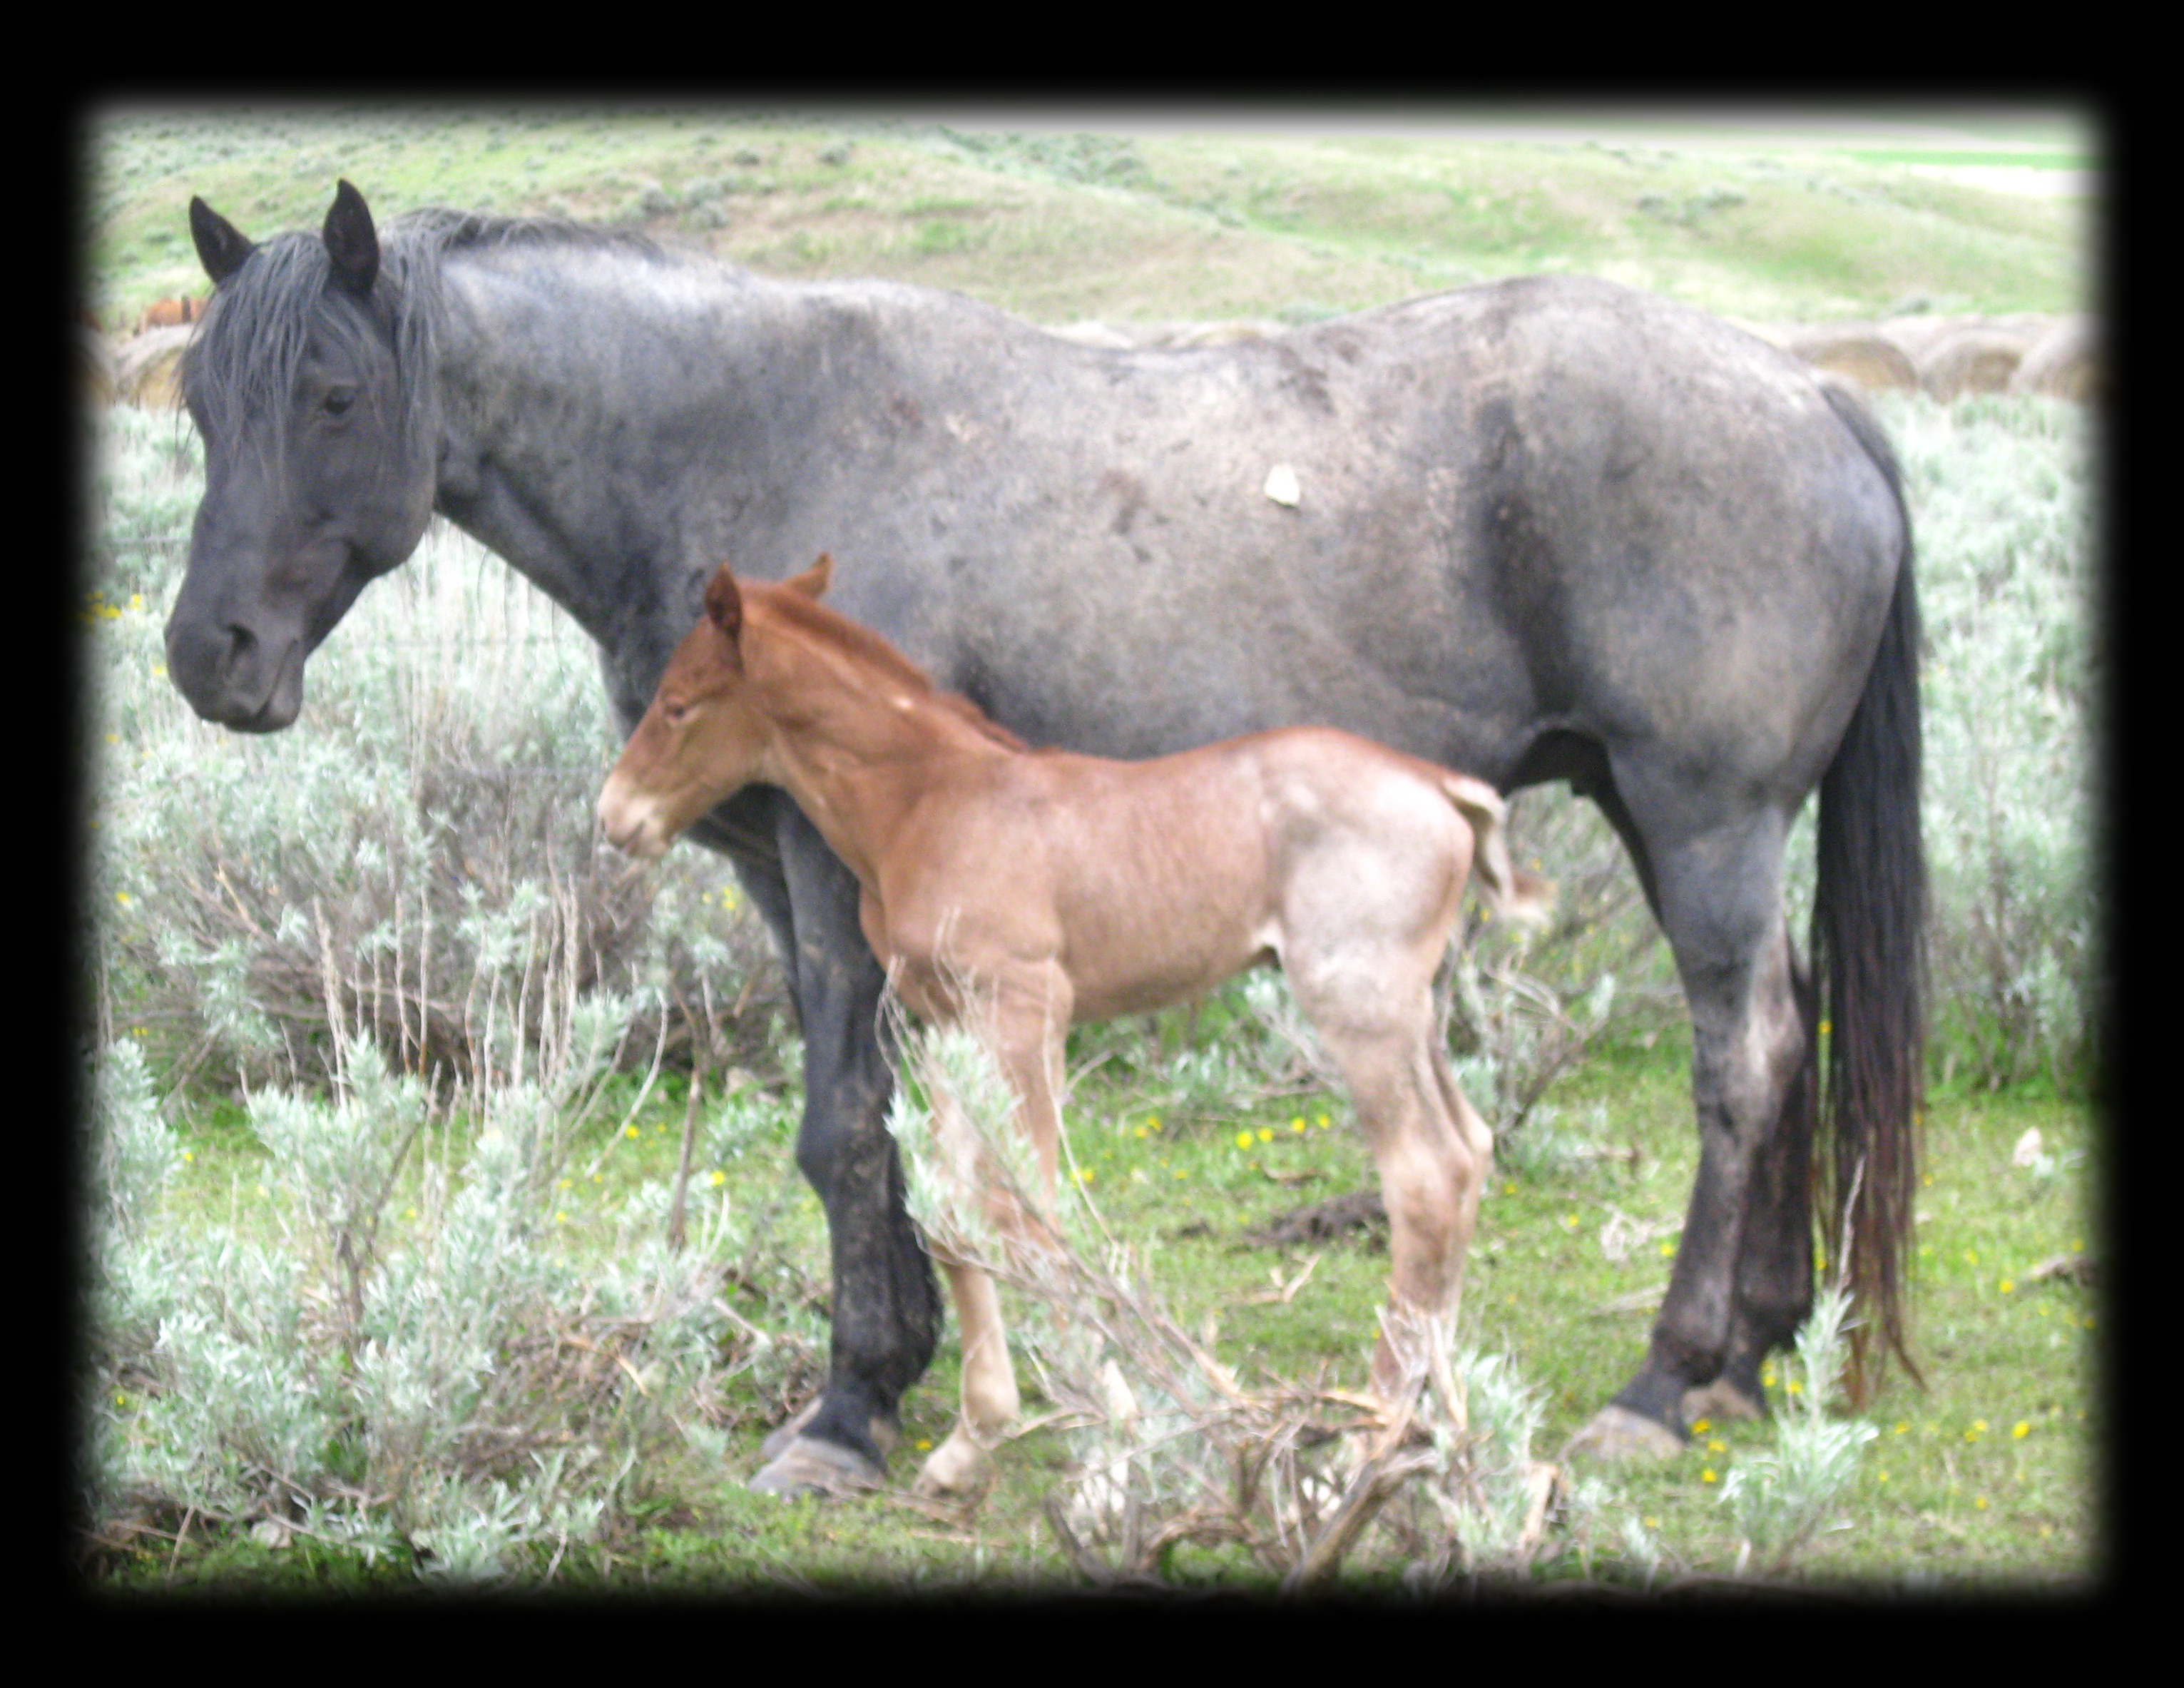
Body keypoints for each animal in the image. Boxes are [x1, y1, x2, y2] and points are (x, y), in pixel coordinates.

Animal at [598, 554, 1550, 1493]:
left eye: (677, 703)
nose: (615, 815)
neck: (928, 800)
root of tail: (1443, 787)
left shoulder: (1026, 1006)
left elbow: (1028, 1214)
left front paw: (1119, 1440)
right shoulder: (946, 1018)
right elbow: (954, 1216)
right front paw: (971, 1440)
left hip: (1355, 998)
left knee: (1422, 1174)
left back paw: (1369, 1441)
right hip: (1408, 1007)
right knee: (1467, 1149)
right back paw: (1445, 1428)